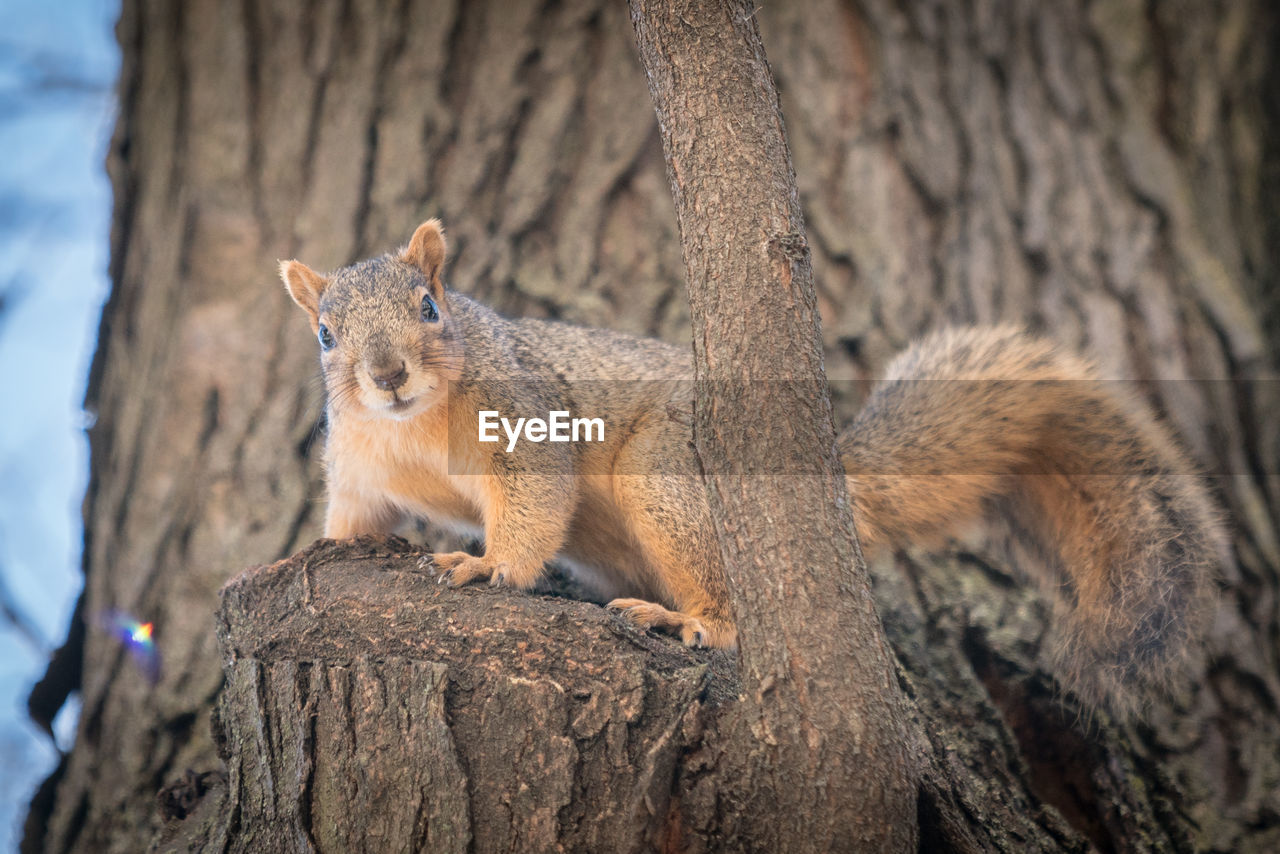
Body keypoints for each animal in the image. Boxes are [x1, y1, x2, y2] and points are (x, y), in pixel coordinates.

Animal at [285, 220, 1223, 717]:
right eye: (325, 334)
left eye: (429, 307)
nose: (387, 375)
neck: (412, 426)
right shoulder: (359, 463)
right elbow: (356, 515)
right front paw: (312, 551)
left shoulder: (525, 418)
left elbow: (532, 501)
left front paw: (490, 568)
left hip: (669, 475)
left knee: (727, 599)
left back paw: (690, 622)